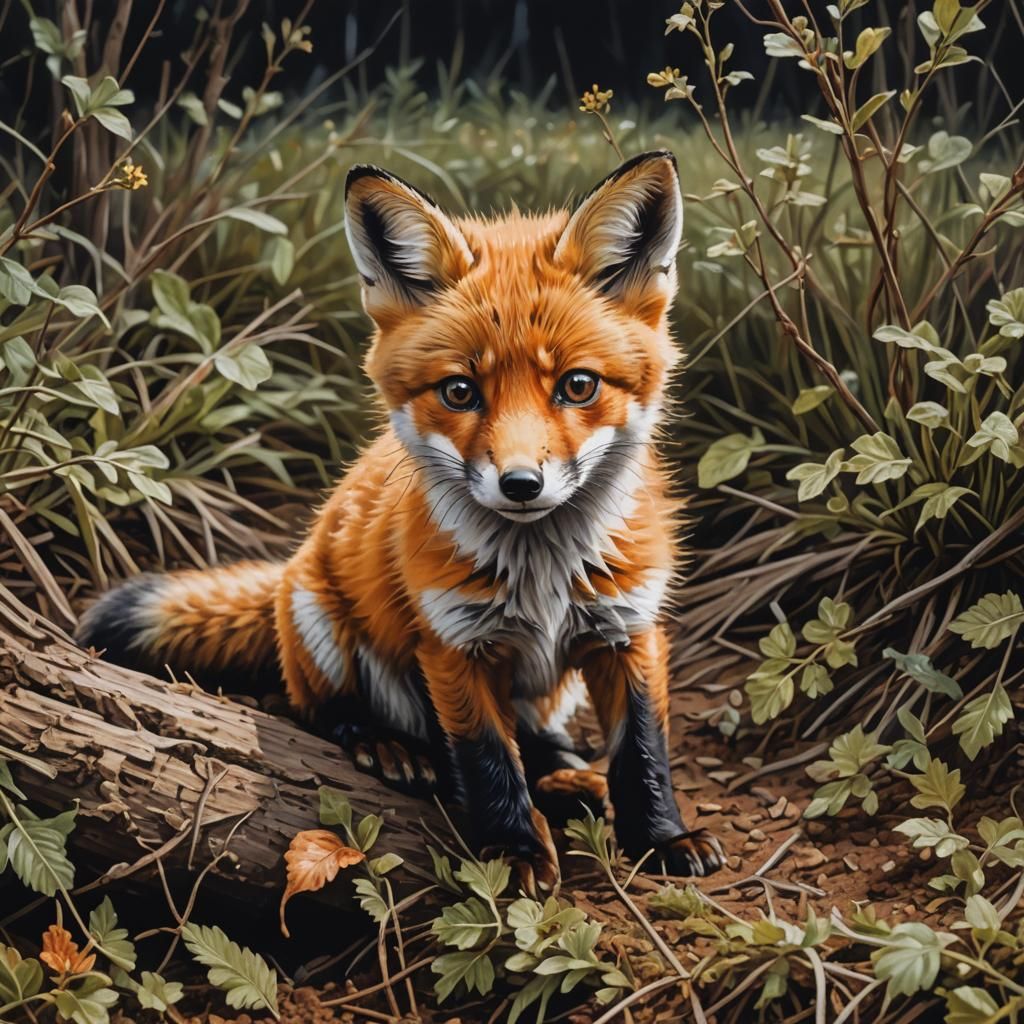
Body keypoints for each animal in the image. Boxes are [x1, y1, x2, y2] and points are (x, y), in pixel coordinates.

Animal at [77, 150, 725, 890]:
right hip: (318, 623)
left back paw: (564, 774)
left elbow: (642, 750)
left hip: (551, 688)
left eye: (578, 386)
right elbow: (486, 762)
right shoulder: (453, 644)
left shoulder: (628, 628)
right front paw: (513, 853)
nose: (521, 485)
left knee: (539, 740)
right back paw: (391, 747)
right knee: (325, 711)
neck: (542, 572)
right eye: (460, 391)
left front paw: (663, 838)